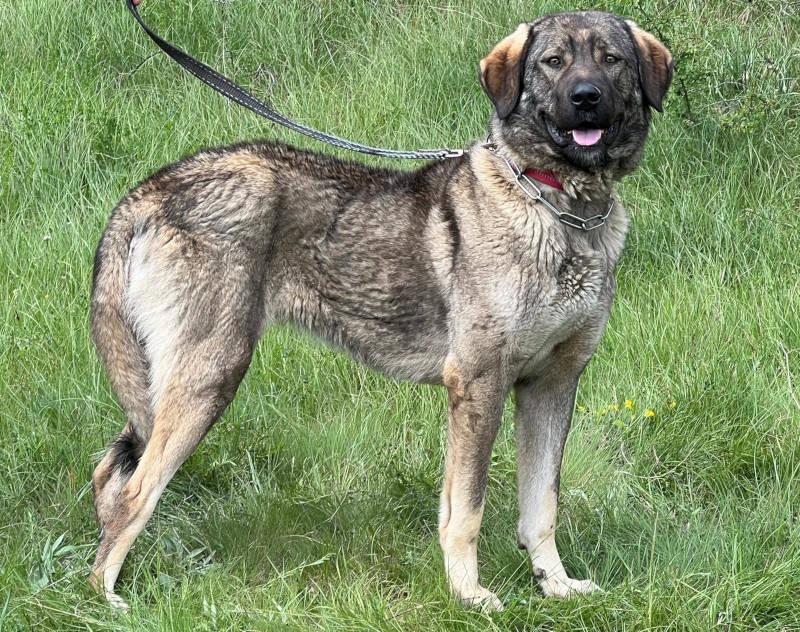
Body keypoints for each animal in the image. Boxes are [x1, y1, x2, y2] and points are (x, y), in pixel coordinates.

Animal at [90, 11, 672, 612]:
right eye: (553, 62)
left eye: (611, 60)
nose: (586, 98)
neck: (558, 210)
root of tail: (151, 191)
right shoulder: (479, 385)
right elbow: (466, 511)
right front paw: (468, 595)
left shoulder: (551, 386)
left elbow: (541, 508)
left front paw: (554, 585)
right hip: (209, 376)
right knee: (134, 491)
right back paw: (107, 596)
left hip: (172, 380)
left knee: (109, 473)